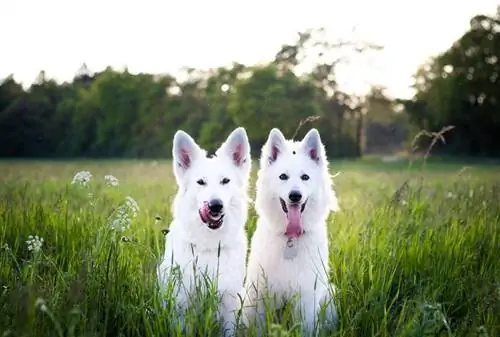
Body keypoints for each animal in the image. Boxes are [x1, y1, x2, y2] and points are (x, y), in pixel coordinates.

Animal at [157, 126, 252, 336]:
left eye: (225, 181)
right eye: (201, 182)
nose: (215, 205)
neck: (210, 245)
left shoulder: (229, 303)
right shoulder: (182, 306)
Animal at [242, 127, 340, 334]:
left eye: (305, 177)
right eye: (283, 177)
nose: (295, 196)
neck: (290, 239)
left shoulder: (306, 296)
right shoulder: (259, 295)